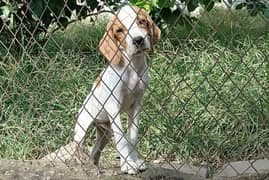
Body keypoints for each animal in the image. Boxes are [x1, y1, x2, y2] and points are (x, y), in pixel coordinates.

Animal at [73, 4, 159, 174]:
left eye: (142, 21)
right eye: (119, 30)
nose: (138, 40)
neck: (133, 68)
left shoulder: (137, 104)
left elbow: (132, 136)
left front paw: (134, 161)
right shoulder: (113, 105)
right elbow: (121, 139)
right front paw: (128, 165)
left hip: (105, 134)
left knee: (95, 151)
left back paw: (95, 165)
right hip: (82, 127)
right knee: (78, 146)